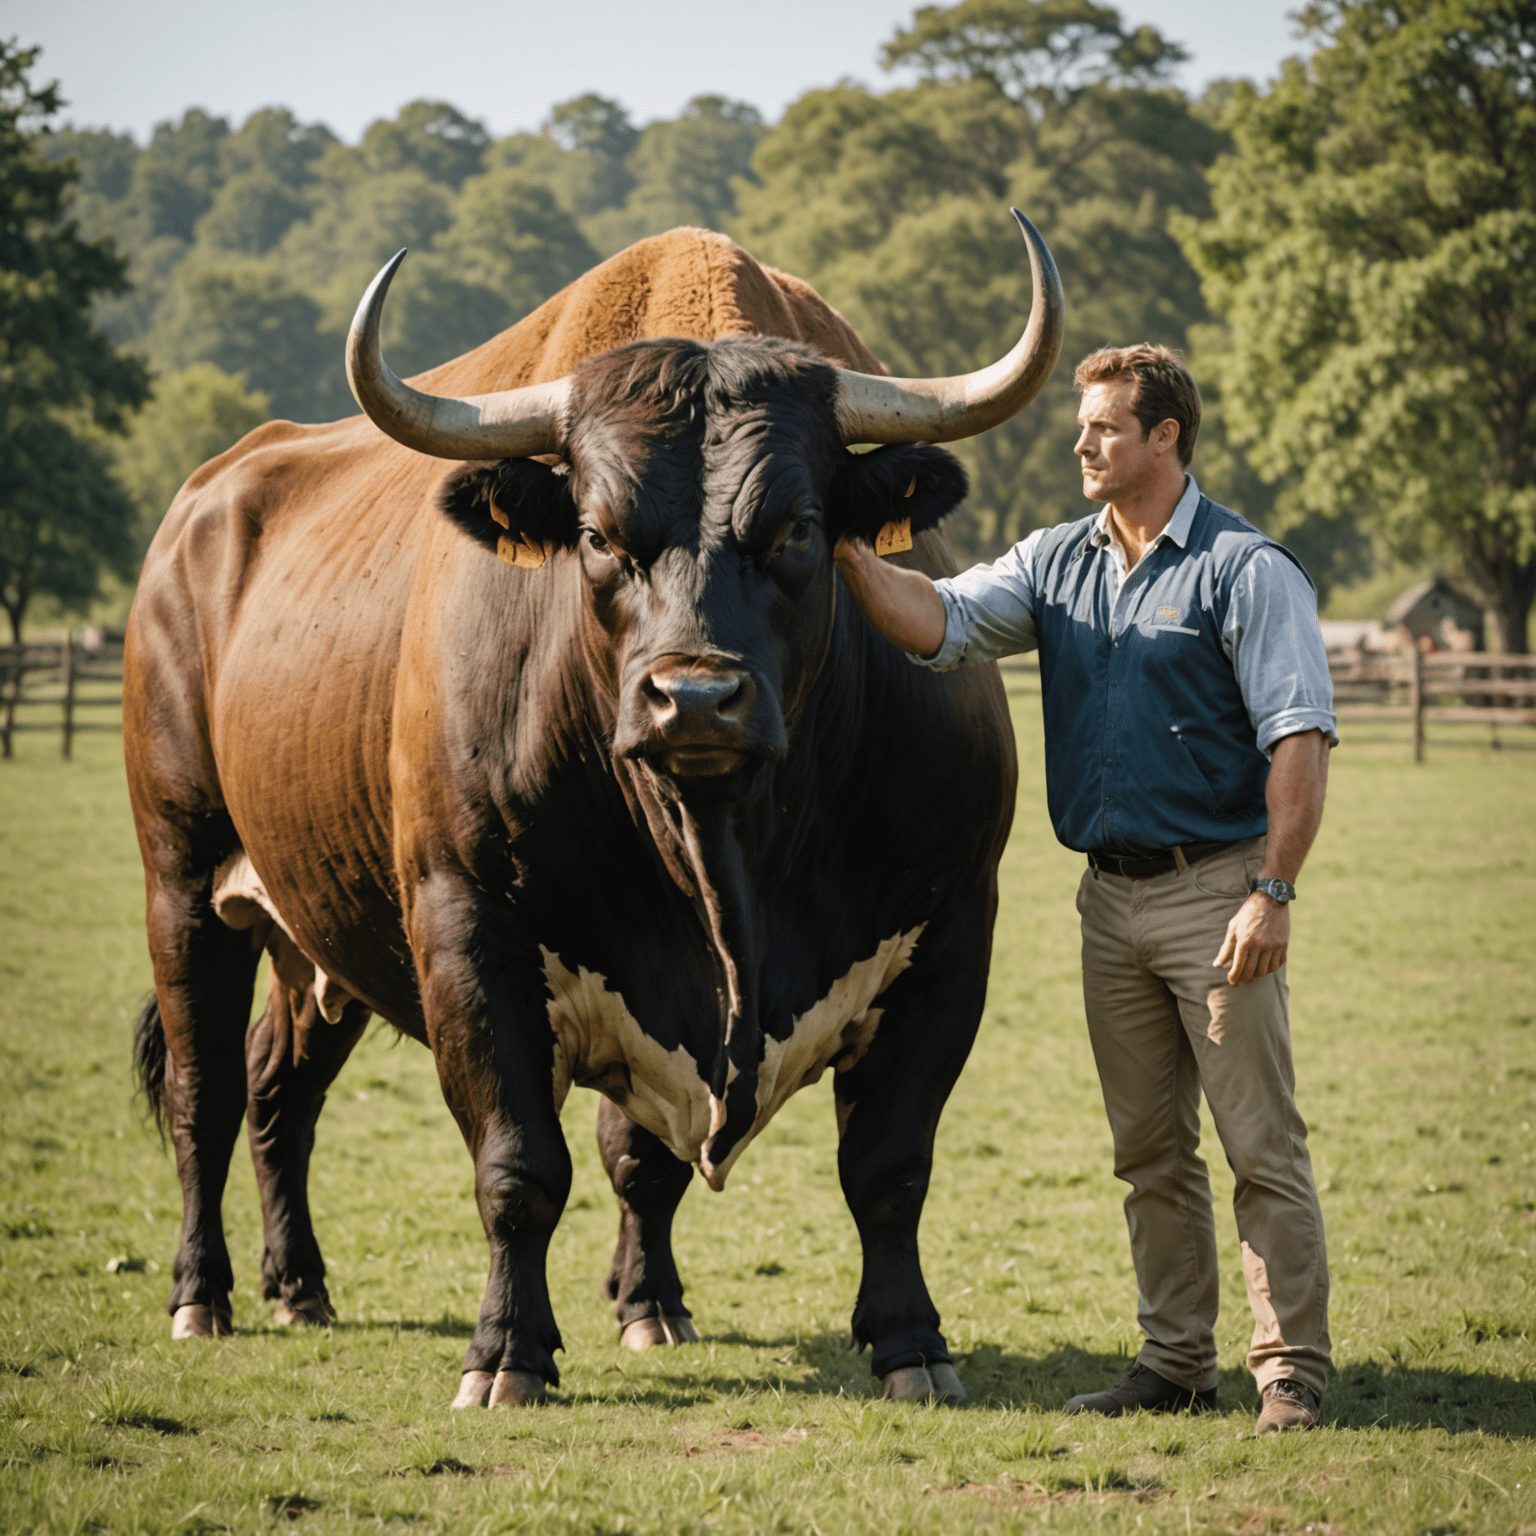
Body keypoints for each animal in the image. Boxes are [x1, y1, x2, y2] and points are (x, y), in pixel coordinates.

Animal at [125, 216, 1062, 1406]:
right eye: (601, 534)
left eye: (800, 529)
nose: (695, 698)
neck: (720, 860)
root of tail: (207, 503)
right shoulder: (465, 931)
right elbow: (520, 1166)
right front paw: (507, 1353)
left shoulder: (947, 934)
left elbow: (869, 1166)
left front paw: (887, 1340)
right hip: (185, 884)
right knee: (201, 1092)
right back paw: (202, 1295)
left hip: (317, 936)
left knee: (275, 1088)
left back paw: (300, 1286)